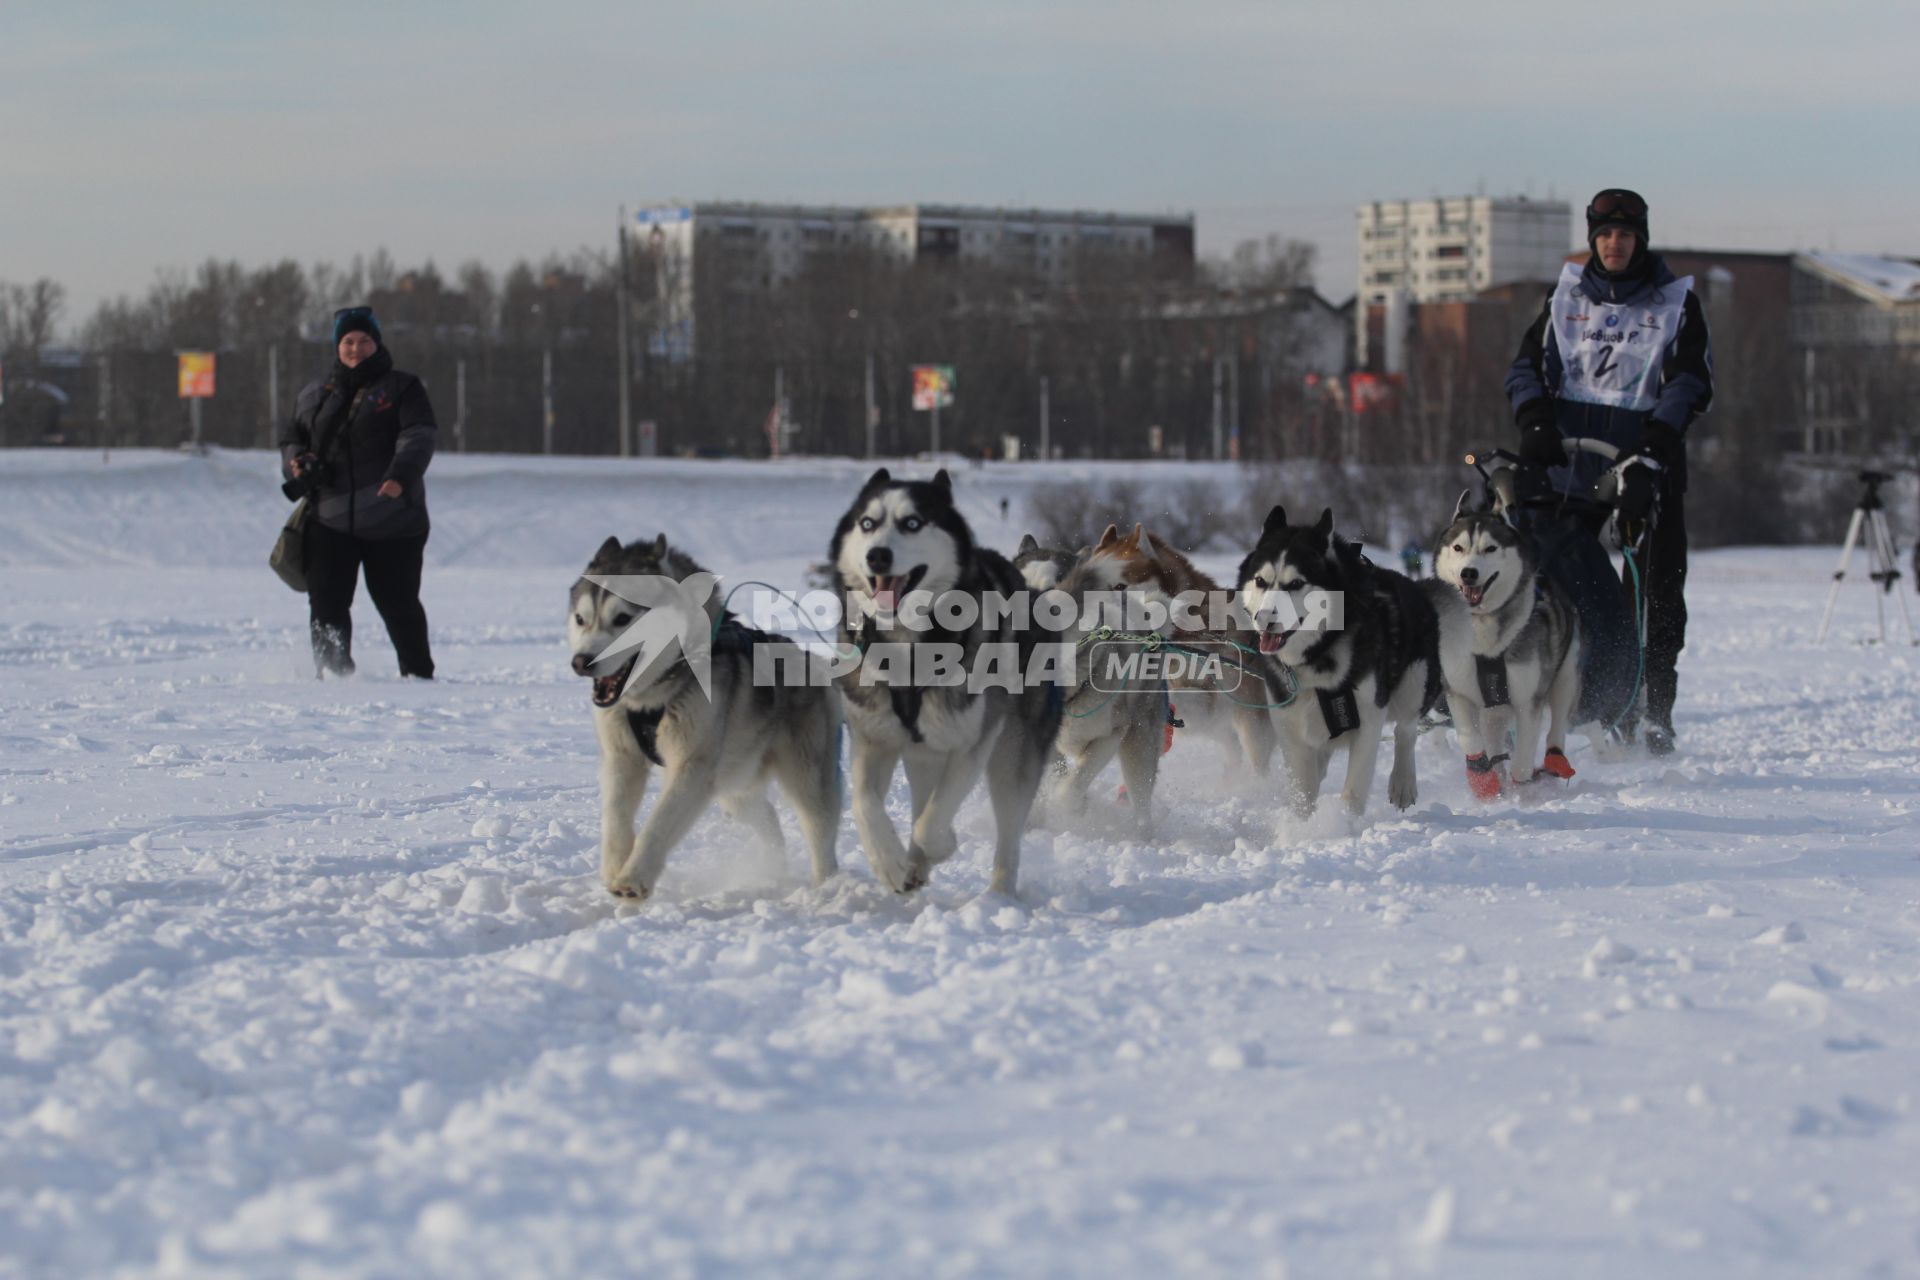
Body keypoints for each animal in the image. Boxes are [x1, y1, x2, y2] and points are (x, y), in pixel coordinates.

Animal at [564, 529, 844, 901]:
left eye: (622, 618)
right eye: (581, 619)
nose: (581, 662)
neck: (653, 696)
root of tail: (814, 660)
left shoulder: (692, 769)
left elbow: (659, 824)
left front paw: (634, 878)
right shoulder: (621, 758)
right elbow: (615, 818)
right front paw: (613, 869)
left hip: (804, 777)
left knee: (820, 831)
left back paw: (826, 886)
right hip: (731, 786)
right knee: (769, 819)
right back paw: (774, 868)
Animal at [829, 470, 1067, 901]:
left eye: (912, 523)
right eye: (867, 523)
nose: (877, 555)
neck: (907, 648)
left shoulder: (972, 743)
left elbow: (932, 821)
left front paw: (943, 845)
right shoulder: (873, 739)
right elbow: (864, 804)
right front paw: (889, 863)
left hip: (1012, 755)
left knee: (1007, 831)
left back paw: (998, 894)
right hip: (922, 754)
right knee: (922, 797)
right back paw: (913, 866)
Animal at [1236, 506, 1436, 817]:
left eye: (1296, 583)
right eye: (1260, 581)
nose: (1264, 619)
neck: (1320, 650)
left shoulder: (1368, 720)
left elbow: (1353, 790)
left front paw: (1342, 822)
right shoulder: (1290, 726)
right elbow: (1303, 792)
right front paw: (1303, 824)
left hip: (1414, 683)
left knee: (1406, 729)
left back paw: (1403, 782)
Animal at [1436, 495, 1582, 802]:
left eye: (1490, 548)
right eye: (1458, 547)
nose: (1469, 573)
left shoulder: (1528, 699)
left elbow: (1524, 758)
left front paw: (1522, 790)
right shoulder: (1457, 690)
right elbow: (1469, 738)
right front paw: (1483, 782)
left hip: (1566, 676)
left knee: (1558, 723)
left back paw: (1553, 763)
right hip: (1493, 710)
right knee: (1493, 737)